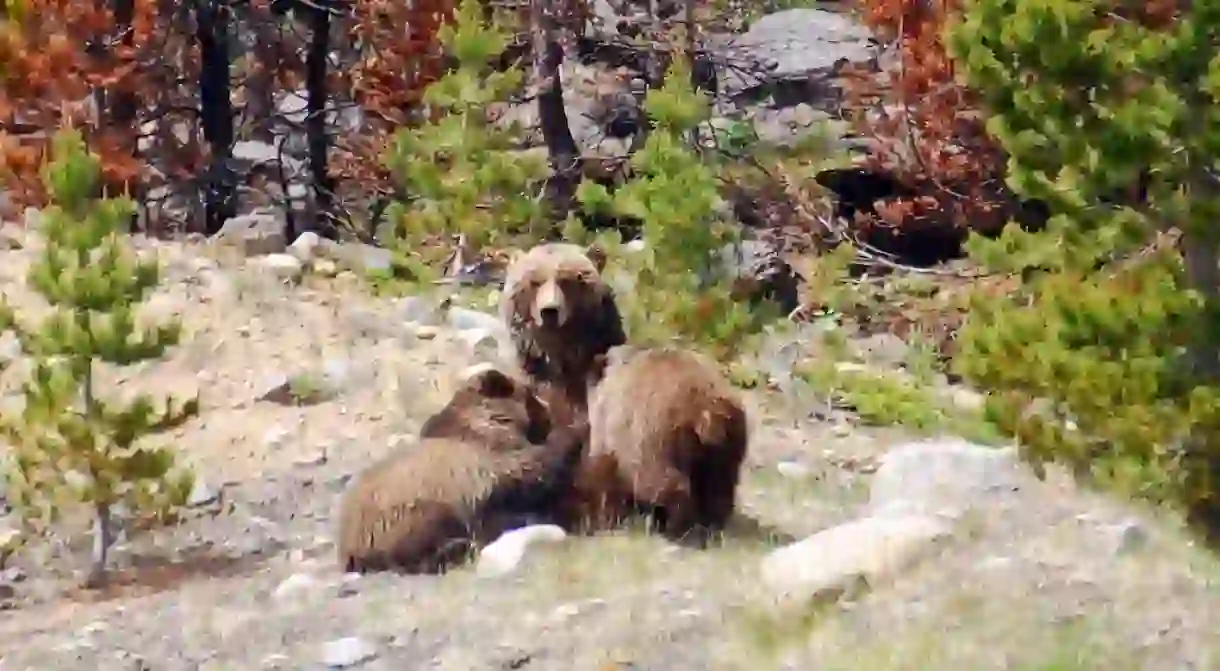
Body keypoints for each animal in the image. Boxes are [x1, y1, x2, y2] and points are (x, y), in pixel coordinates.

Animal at [336, 366, 588, 575]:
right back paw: (454, 548)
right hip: (410, 511)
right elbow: (530, 469)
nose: (547, 414)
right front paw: (576, 428)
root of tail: (347, 549)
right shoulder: (485, 456)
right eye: (529, 393)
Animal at [573, 344, 751, 544]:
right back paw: (713, 525)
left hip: (659, 436)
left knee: (666, 481)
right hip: (731, 437)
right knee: (721, 483)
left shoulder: (612, 431)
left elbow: (606, 473)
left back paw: (673, 527)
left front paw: (612, 517)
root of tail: (706, 411)